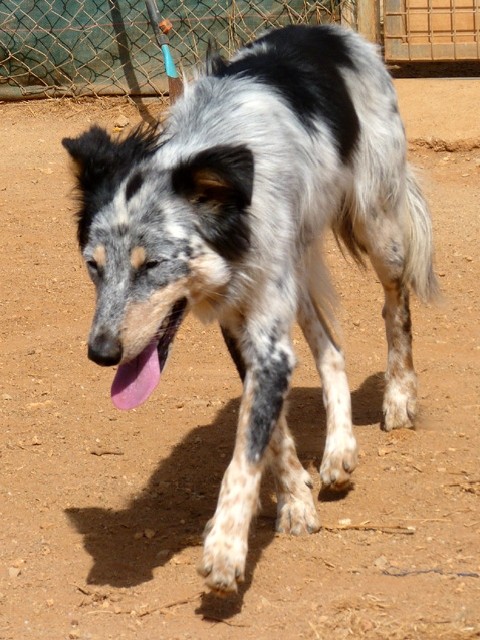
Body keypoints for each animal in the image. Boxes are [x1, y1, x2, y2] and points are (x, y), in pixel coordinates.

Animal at [63, 25, 438, 596]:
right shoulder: (240, 325)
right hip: (296, 273)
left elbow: (246, 453)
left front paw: (225, 545)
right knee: (331, 349)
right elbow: (272, 433)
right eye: (93, 266)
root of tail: (329, 31)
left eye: (154, 265)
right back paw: (338, 450)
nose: (101, 353)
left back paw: (398, 399)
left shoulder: (266, 333)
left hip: (377, 226)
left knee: (395, 309)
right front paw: (295, 500)